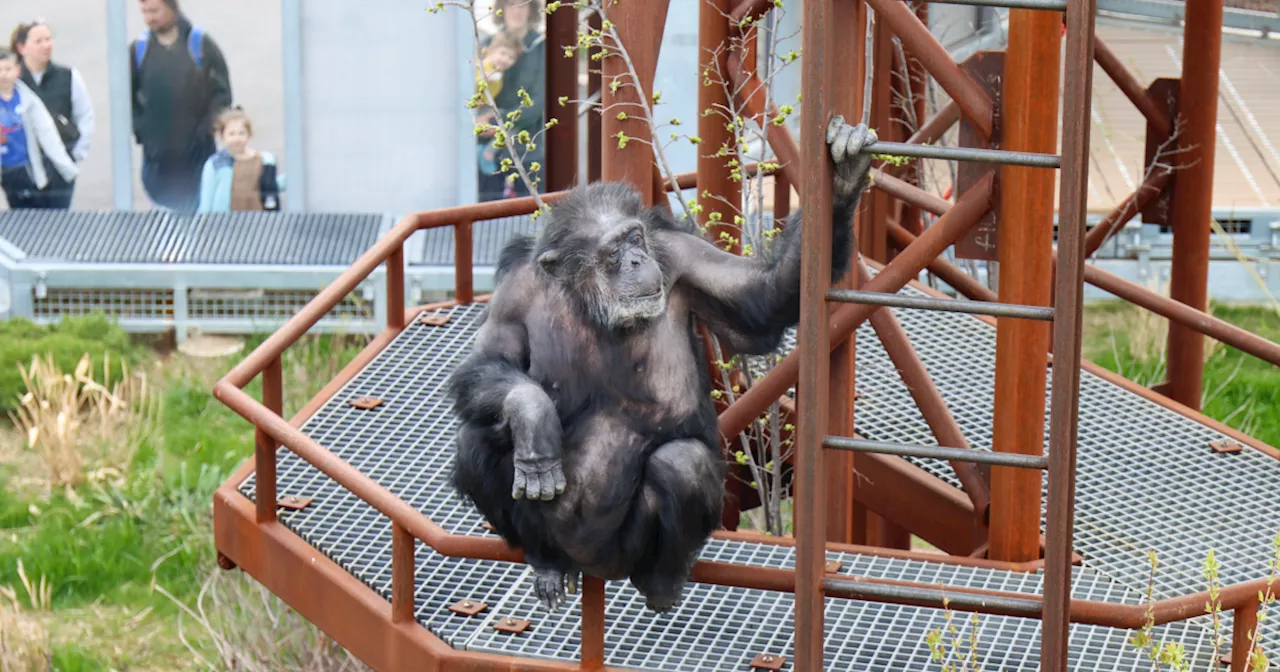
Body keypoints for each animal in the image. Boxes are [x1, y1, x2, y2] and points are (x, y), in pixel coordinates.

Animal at [445, 116, 875, 611]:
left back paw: (663, 580)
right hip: (556, 537)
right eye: (612, 251)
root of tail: (594, 567)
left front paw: (844, 176)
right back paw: (545, 560)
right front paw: (533, 416)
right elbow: (489, 359)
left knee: (682, 463)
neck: (590, 300)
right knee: (476, 440)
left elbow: (761, 300)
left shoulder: (681, 255)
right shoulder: (514, 290)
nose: (636, 259)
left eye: (635, 237)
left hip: (626, 550)